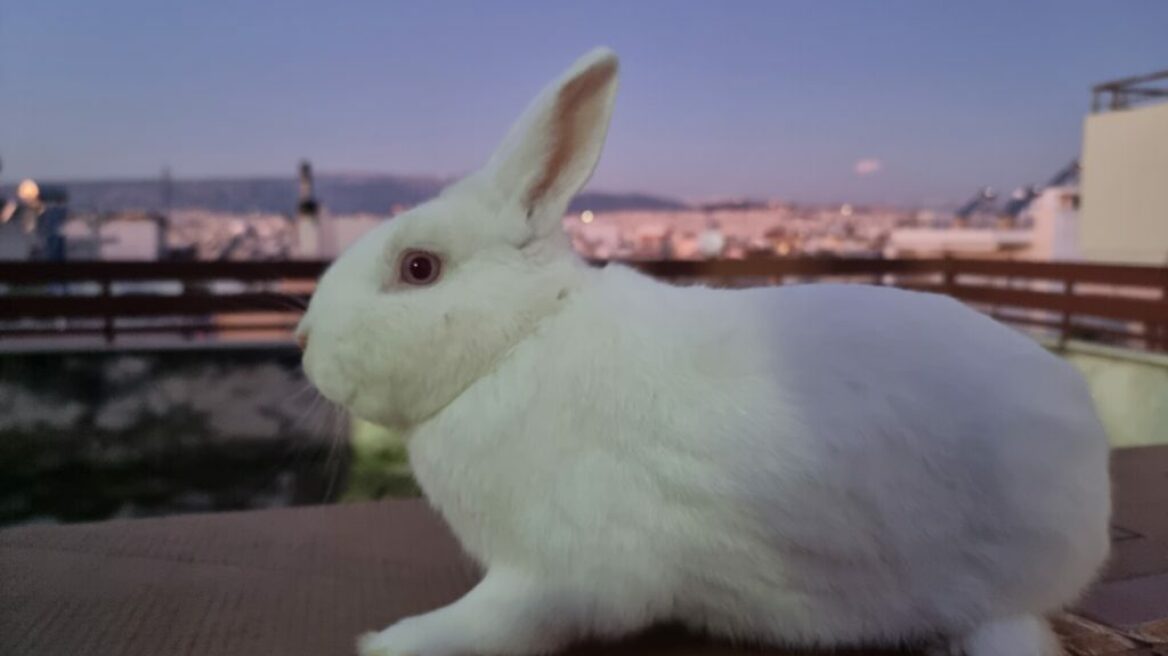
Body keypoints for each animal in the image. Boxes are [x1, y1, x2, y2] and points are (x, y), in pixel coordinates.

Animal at [297, 47, 1111, 656]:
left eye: (419, 268)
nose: (303, 340)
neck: (520, 338)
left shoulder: (555, 572)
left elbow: (495, 623)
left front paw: (393, 640)